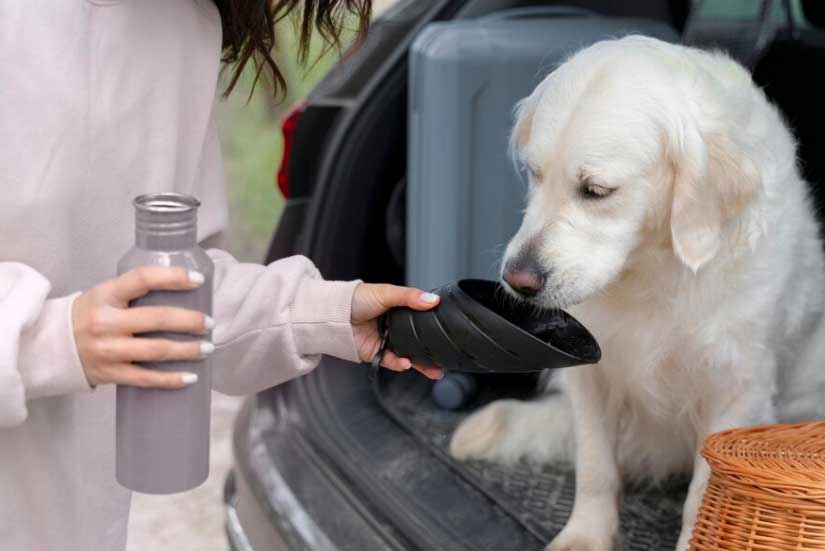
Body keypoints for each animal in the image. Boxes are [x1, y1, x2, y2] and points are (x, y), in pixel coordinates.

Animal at [448, 34, 824, 551]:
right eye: (535, 174)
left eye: (596, 190)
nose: (517, 280)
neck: (654, 266)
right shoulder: (590, 375)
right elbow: (594, 468)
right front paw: (585, 537)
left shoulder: (737, 390)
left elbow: (703, 496)